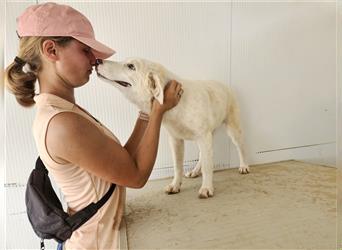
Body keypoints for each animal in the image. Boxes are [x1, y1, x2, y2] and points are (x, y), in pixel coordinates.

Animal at [95, 57, 248, 198]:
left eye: (131, 66)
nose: (97, 61)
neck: (178, 105)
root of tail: (224, 84)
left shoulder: (203, 137)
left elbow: (207, 166)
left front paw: (206, 188)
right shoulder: (176, 140)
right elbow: (178, 166)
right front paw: (175, 185)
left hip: (232, 130)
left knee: (240, 147)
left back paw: (244, 166)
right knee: (201, 157)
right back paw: (195, 171)